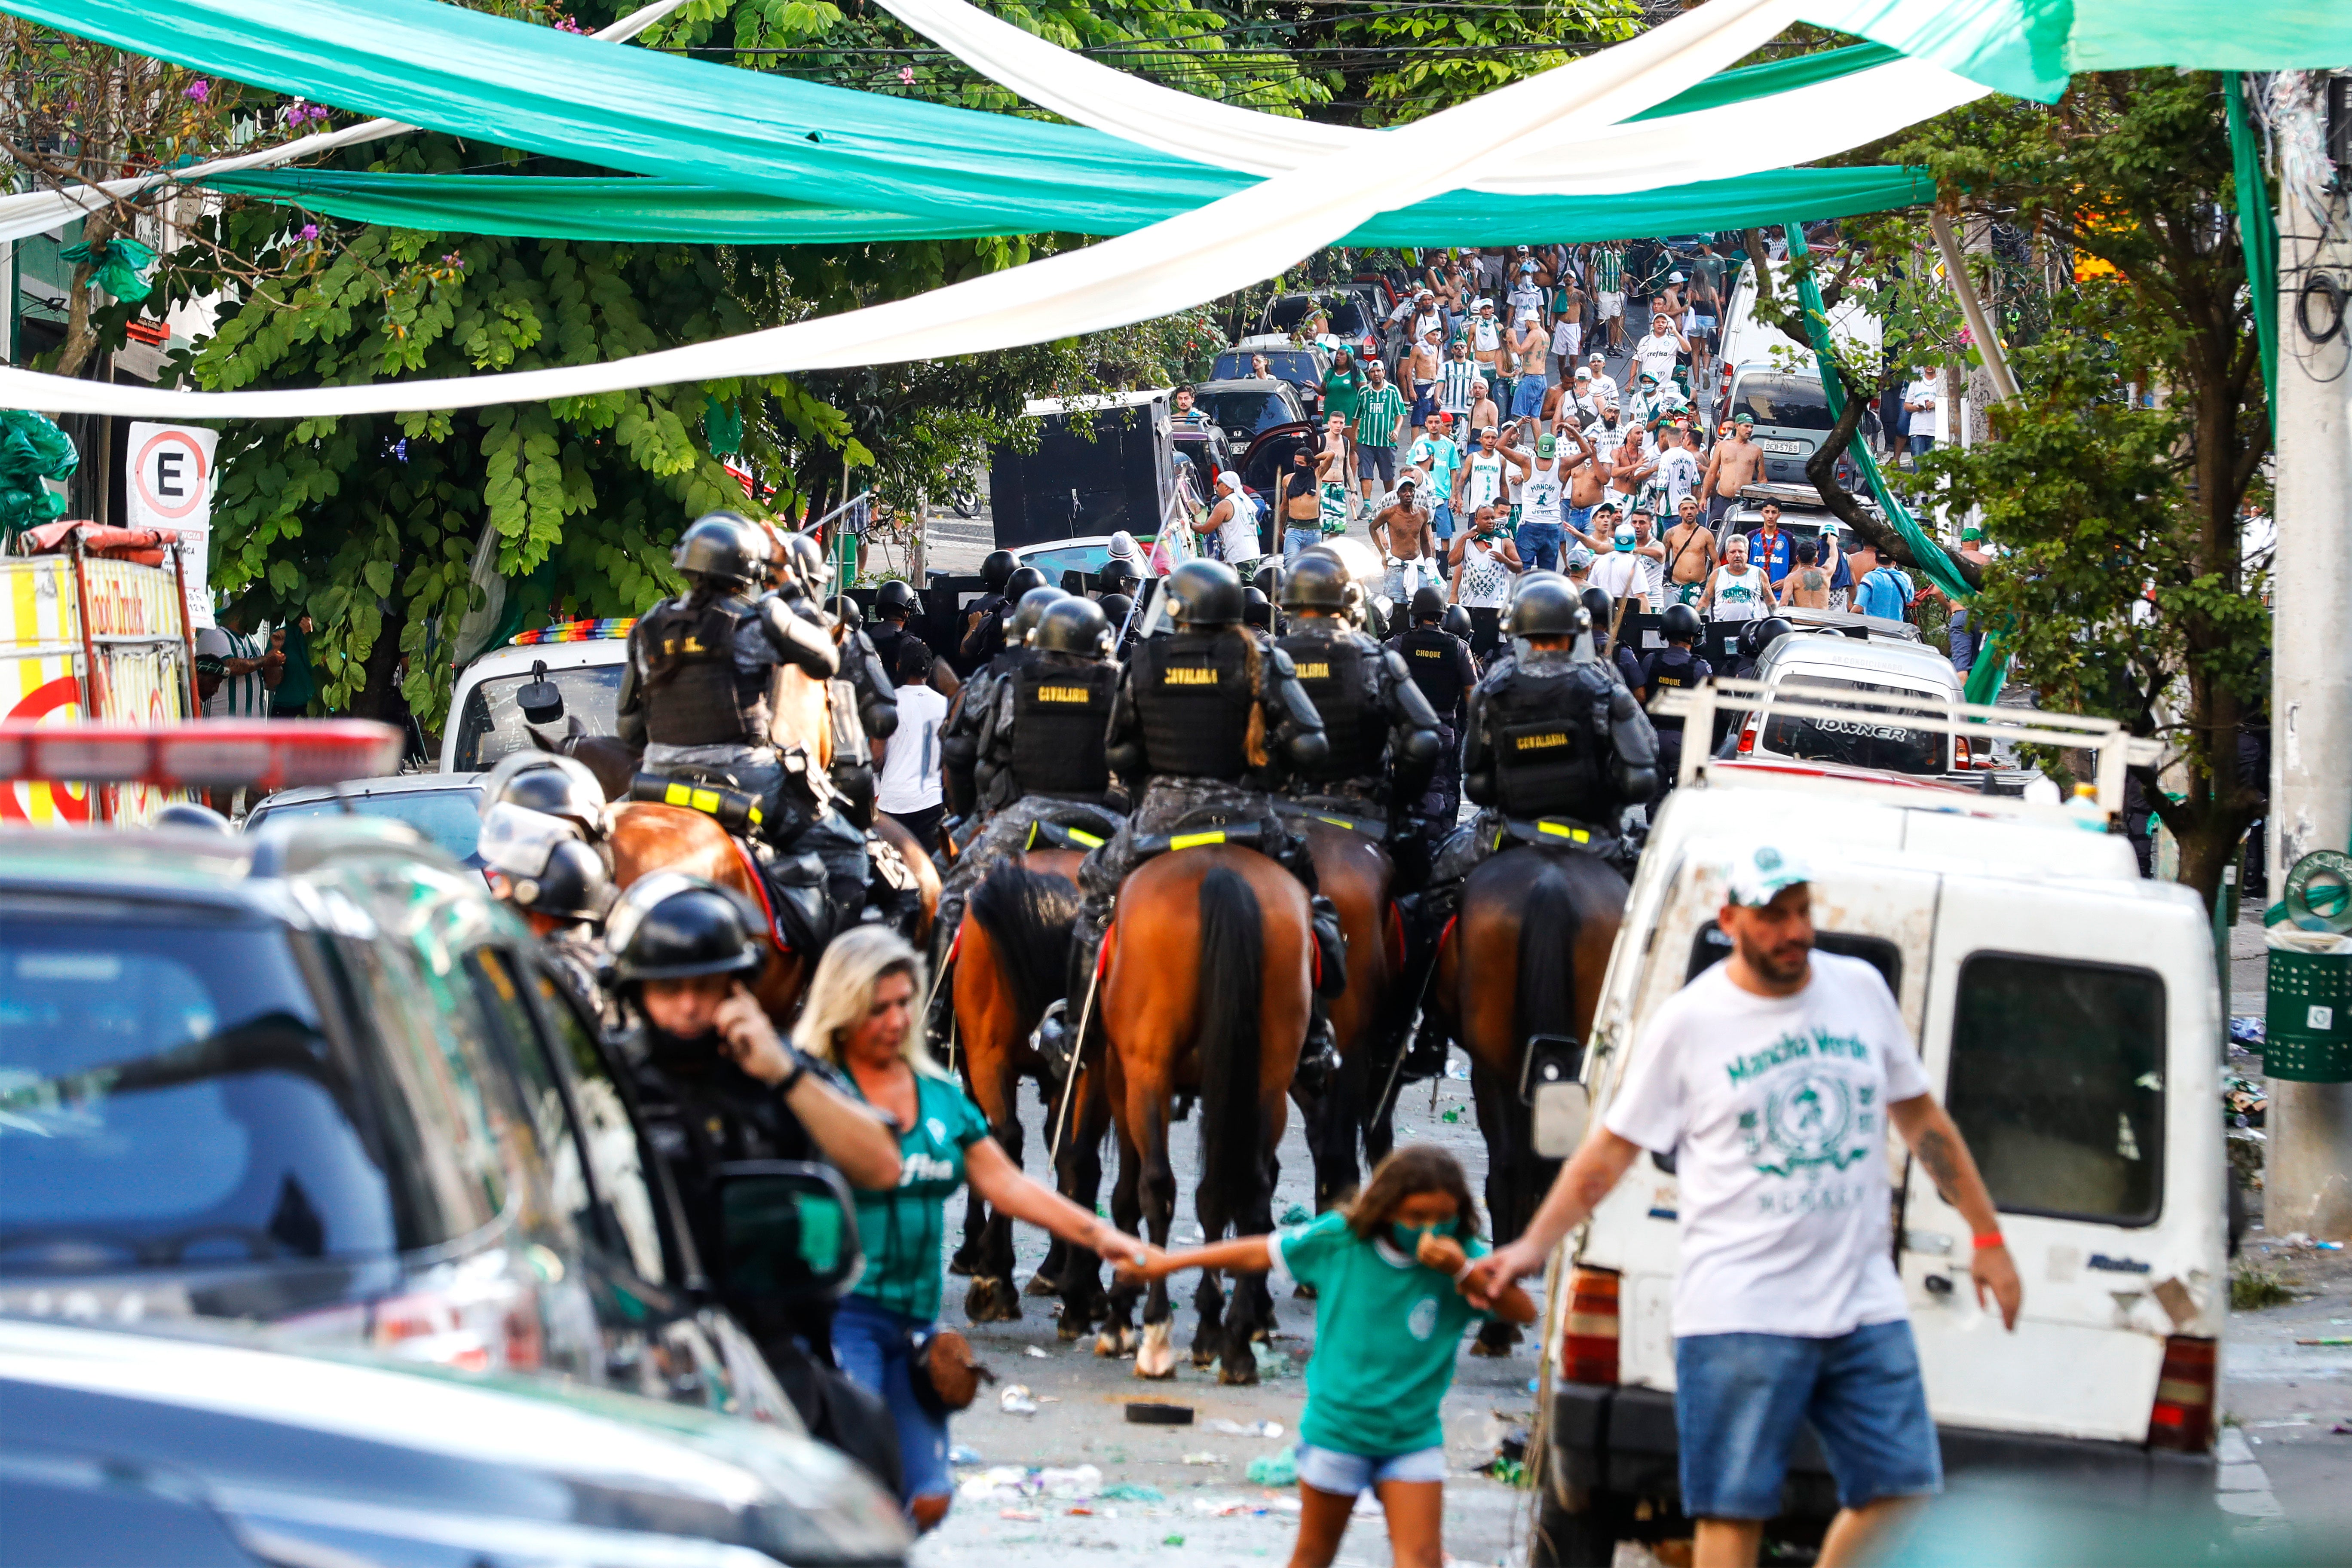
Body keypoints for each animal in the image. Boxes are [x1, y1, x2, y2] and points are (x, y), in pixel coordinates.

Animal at [1091, 846, 1317, 1382]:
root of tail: (1222, 871)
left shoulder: (1121, 1076)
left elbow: (1129, 1195)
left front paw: (1121, 1315)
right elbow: (1217, 1197)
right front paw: (1214, 1326)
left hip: (1148, 1072)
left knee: (1157, 1188)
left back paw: (1156, 1331)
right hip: (1268, 1077)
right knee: (1248, 1190)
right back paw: (1234, 1342)